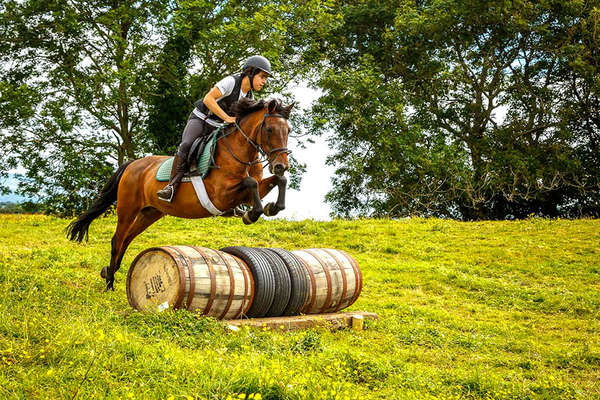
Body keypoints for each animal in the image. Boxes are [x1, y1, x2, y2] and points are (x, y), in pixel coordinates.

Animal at [68, 98, 292, 290]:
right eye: (270, 129)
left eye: (288, 130)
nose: (281, 165)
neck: (240, 152)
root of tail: (133, 164)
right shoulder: (220, 196)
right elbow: (250, 182)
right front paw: (251, 214)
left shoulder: (247, 193)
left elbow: (277, 181)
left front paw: (272, 207)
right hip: (127, 209)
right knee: (117, 240)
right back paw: (110, 284)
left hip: (150, 213)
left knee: (127, 239)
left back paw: (110, 272)